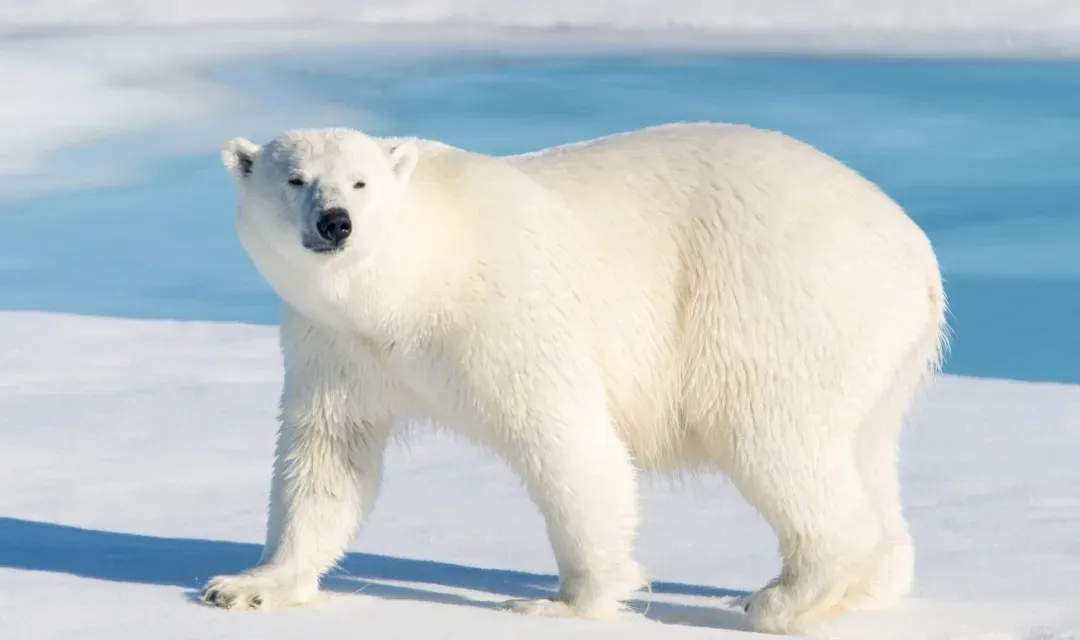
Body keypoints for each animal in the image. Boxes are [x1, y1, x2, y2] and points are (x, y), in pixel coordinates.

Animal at [202, 122, 947, 635]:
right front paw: (247, 585)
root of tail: (918, 249)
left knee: (773, 436)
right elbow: (327, 456)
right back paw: (870, 584)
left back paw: (782, 597)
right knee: (863, 447)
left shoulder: (505, 312)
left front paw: (561, 602)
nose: (336, 223)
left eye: (361, 182)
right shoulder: (337, 345)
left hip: (778, 300)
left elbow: (567, 441)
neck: (414, 281)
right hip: (876, 347)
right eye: (295, 179)